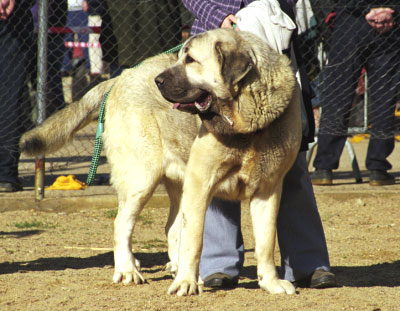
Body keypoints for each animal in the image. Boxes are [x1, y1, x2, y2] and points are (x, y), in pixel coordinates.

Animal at [18, 28, 300, 298]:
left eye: (190, 60)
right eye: (181, 57)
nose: (158, 81)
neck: (247, 125)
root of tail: (121, 76)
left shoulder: (267, 190)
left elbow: (266, 243)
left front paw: (270, 283)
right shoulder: (201, 183)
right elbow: (195, 239)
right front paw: (186, 283)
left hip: (176, 183)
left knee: (171, 228)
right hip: (141, 179)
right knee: (122, 224)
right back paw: (128, 270)